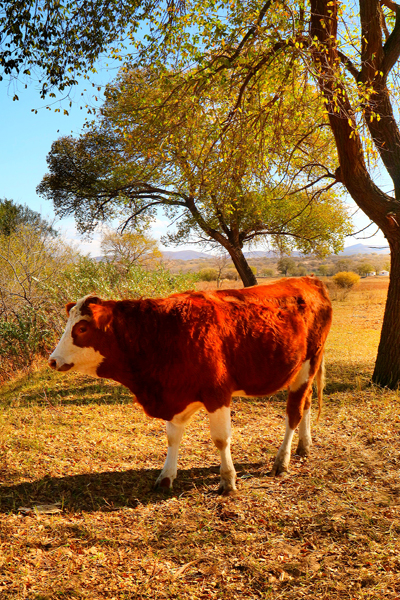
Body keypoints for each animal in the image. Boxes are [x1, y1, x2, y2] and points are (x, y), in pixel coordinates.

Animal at [49, 278, 332, 494]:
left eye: (82, 328)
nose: (53, 360)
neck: (163, 333)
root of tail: (309, 280)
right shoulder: (175, 394)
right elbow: (173, 437)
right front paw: (166, 476)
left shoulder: (217, 393)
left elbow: (221, 439)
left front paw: (228, 480)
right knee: (306, 403)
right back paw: (304, 446)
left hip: (309, 362)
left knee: (294, 413)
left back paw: (282, 461)